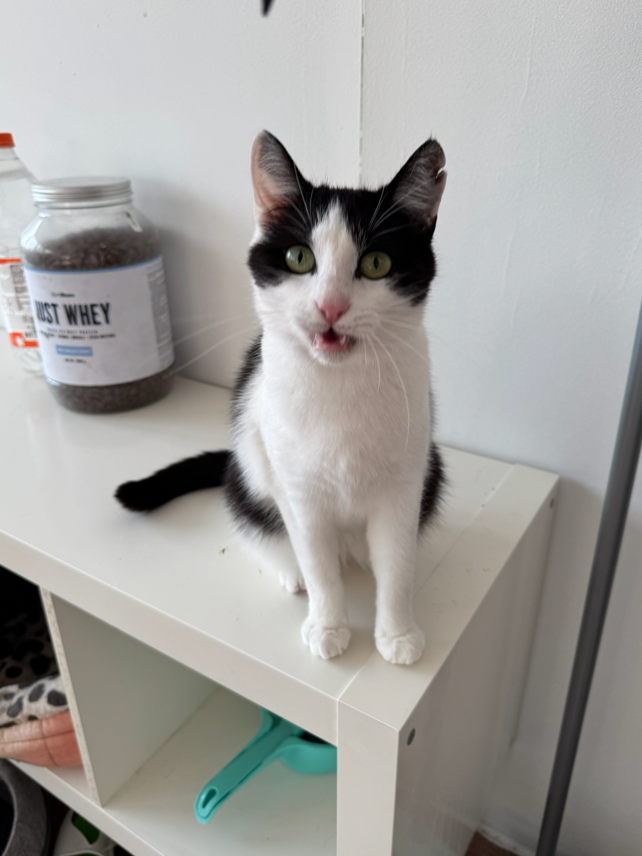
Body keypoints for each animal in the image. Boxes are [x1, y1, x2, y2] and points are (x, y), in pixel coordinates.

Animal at [116, 130, 447, 665]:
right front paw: (328, 624)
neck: (339, 386)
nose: (330, 306)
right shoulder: (295, 485)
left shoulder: (405, 481)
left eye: (376, 263)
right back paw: (292, 574)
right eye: (299, 258)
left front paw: (397, 634)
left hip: (433, 469)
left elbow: (396, 560)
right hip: (249, 477)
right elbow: (316, 559)